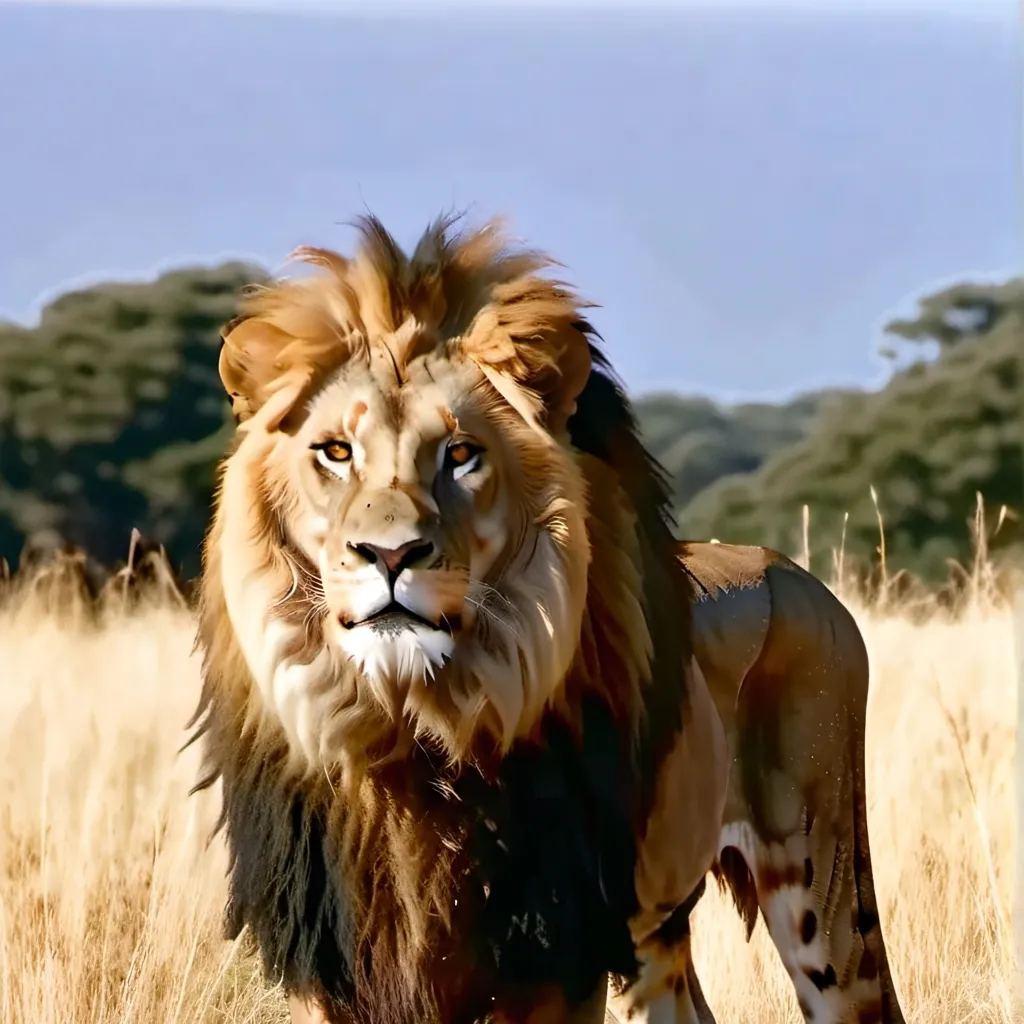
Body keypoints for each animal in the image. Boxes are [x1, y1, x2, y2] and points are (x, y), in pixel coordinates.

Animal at [186, 213, 906, 1024]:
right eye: (336, 452)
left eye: (461, 453)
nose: (390, 553)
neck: (410, 734)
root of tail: (804, 578)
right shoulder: (335, 967)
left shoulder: (557, 956)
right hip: (658, 935)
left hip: (819, 873)